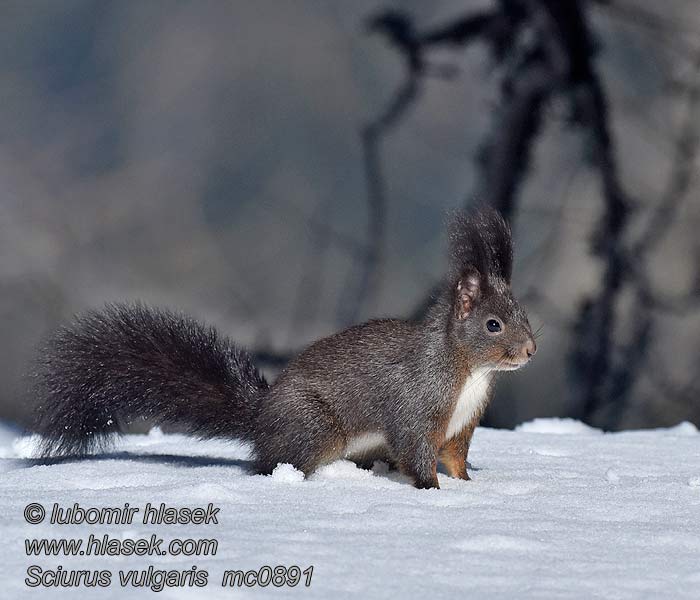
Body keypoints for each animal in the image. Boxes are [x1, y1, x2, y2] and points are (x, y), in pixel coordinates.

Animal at [31, 206, 536, 488]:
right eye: (493, 325)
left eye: (525, 316)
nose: (531, 350)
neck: (469, 372)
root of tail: (263, 416)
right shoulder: (415, 404)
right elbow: (416, 448)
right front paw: (431, 490)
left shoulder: (462, 423)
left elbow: (455, 456)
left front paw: (469, 484)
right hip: (314, 428)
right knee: (272, 464)